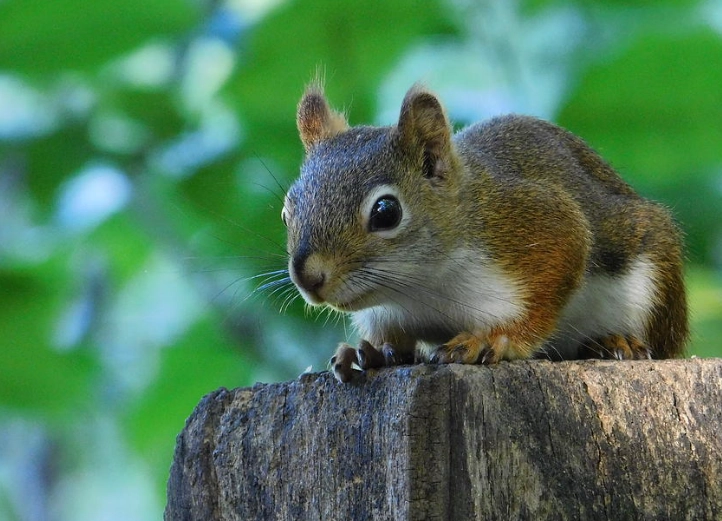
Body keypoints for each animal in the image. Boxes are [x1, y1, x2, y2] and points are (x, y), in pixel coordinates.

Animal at [283, 82, 689, 383]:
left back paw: (617, 341)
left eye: (386, 212)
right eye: (287, 212)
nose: (308, 278)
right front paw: (368, 351)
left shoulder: (541, 225)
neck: (417, 289)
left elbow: (548, 290)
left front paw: (495, 338)